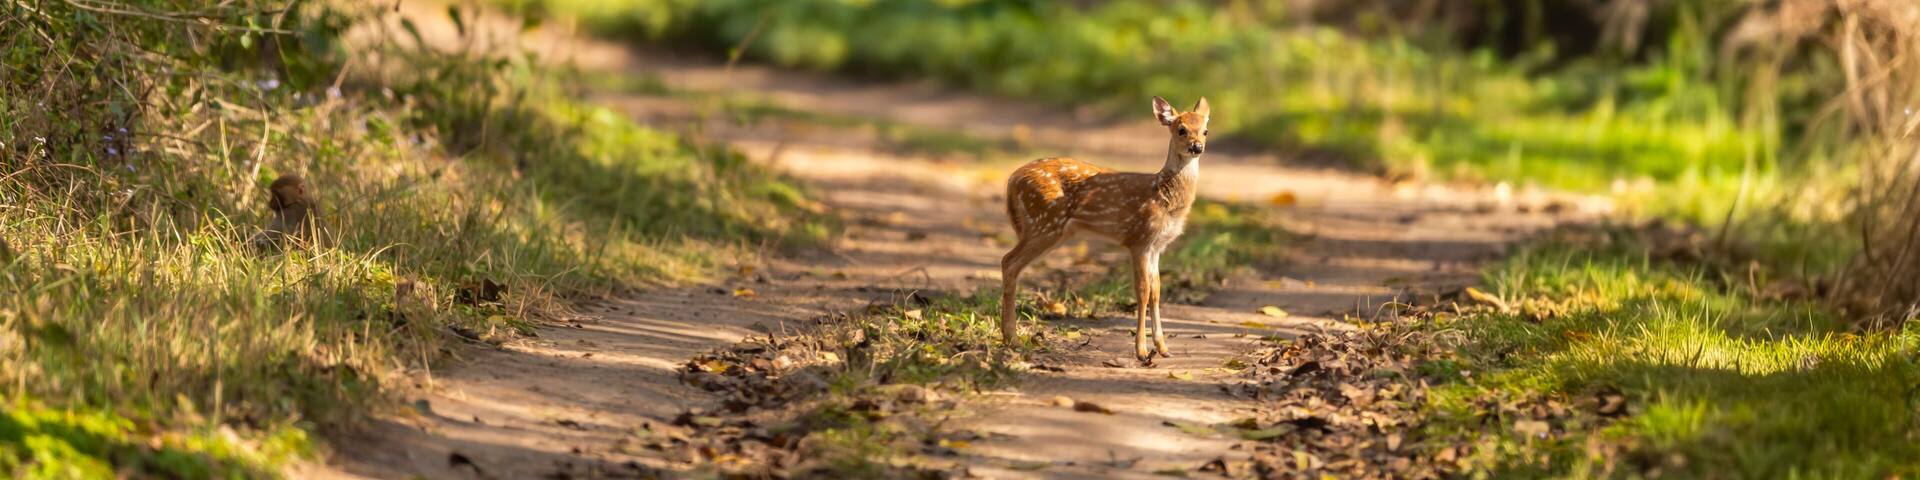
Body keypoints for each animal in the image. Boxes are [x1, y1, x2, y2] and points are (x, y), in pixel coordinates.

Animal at [1000, 96, 1209, 362]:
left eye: (1205, 130)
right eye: (1181, 130)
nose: (1197, 147)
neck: (1164, 196)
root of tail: (1012, 180)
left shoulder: (1157, 246)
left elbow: (1156, 291)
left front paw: (1163, 348)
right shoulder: (1138, 239)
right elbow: (1142, 291)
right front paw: (1141, 351)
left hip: (1048, 228)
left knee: (1010, 262)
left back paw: (1010, 337)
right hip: (1045, 223)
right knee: (1009, 261)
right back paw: (1012, 338)